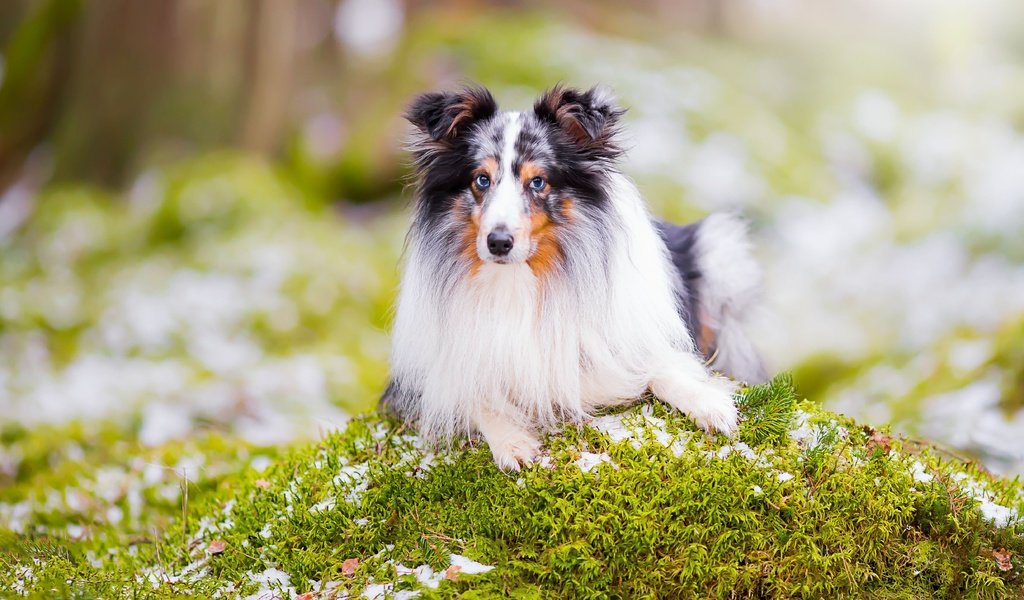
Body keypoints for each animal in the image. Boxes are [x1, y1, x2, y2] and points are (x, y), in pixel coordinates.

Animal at [380, 83, 765, 468]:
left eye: (538, 181)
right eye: (482, 180)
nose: (498, 243)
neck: (518, 281)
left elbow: (661, 365)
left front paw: (709, 403)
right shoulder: (420, 381)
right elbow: (474, 396)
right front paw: (512, 441)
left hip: (718, 253)